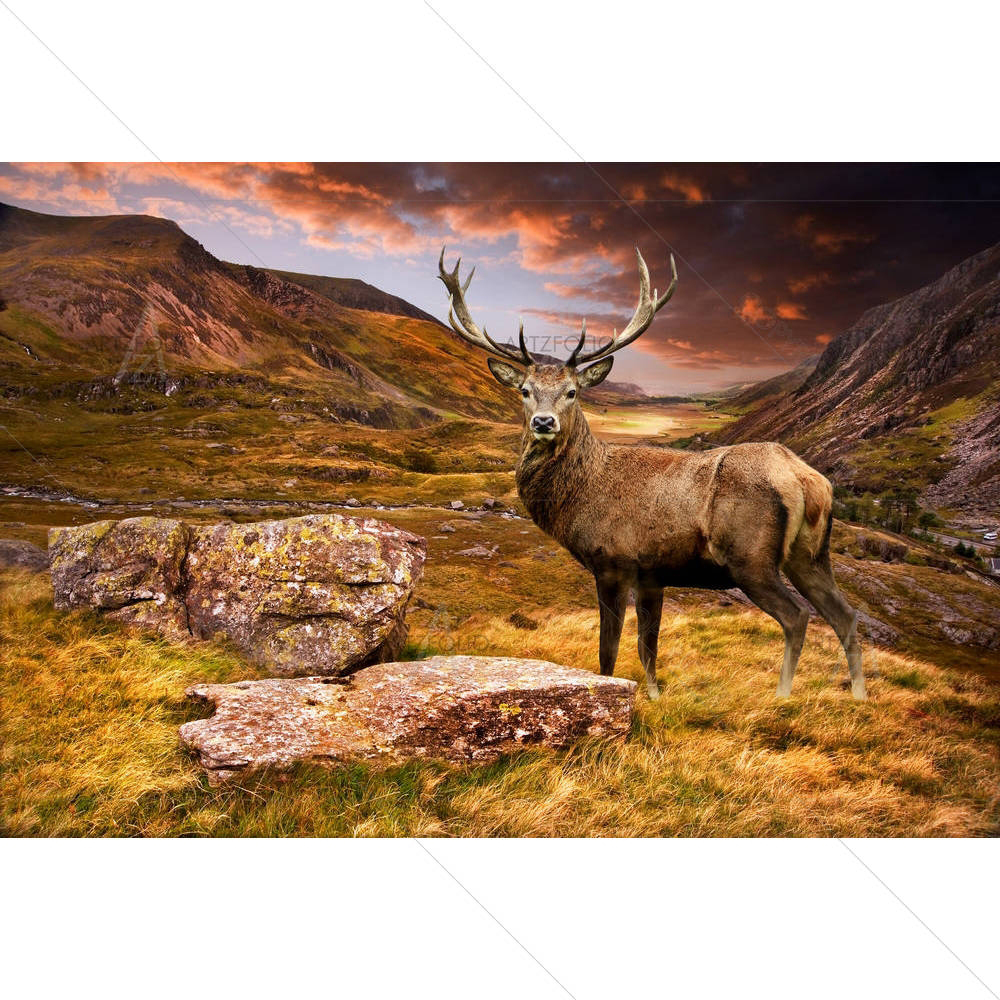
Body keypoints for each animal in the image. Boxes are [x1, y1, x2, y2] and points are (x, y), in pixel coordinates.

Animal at [437, 247, 867, 702]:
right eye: (524, 391)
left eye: (572, 392)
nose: (543, 422)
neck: (581, 495)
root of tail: (807, 480)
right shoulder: (652, 575)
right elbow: (648, 649)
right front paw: (655, 697)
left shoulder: (613, 561)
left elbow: (608, 651)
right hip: (811, 555)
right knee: (846, 615)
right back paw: (859, 697)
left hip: (751, 558)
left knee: (798, 617)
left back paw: (783, 695)